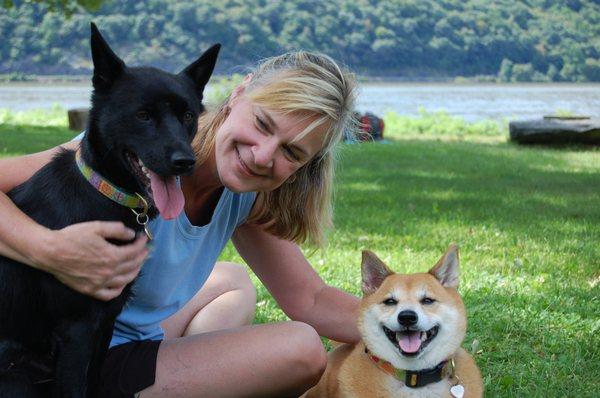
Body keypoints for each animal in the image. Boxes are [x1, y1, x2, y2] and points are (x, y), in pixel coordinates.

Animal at [0, 23, 220, 396]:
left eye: (188, 115)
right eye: (143, 115)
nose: (185, 163)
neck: (106, 194)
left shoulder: (104, 324)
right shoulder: (77, 331)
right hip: (17, 378)